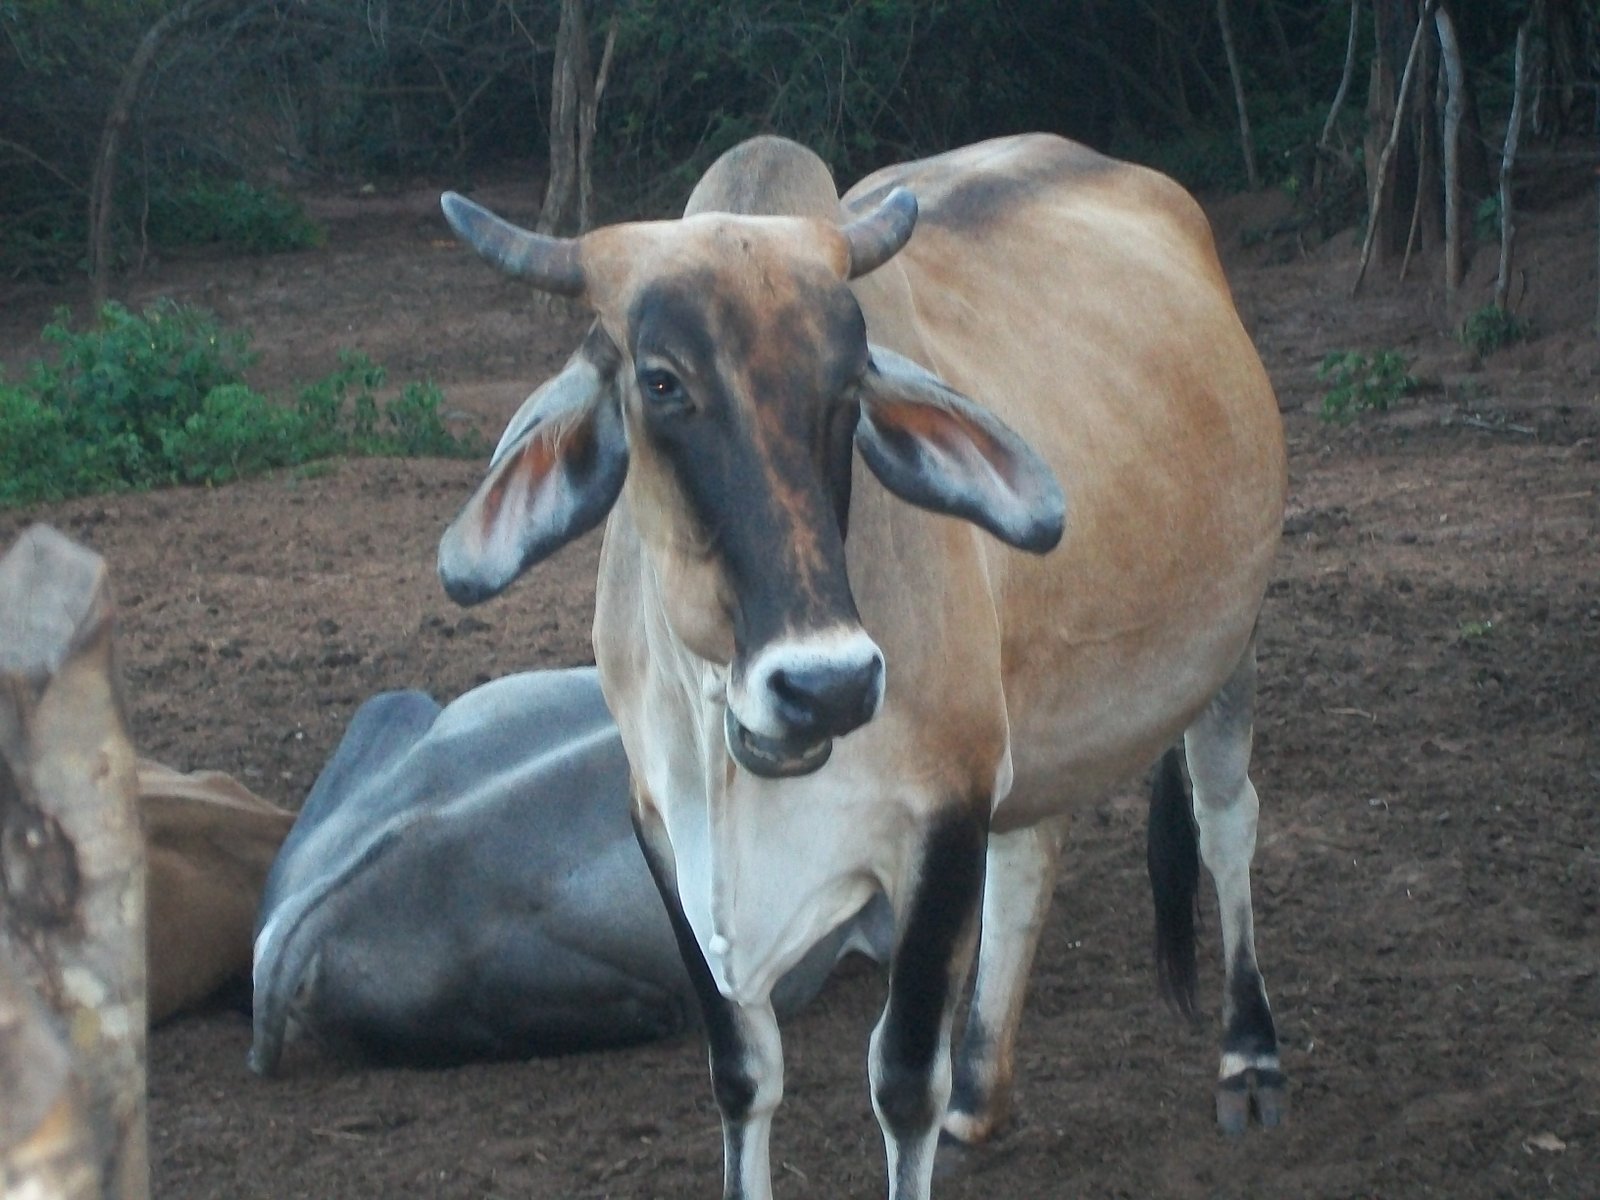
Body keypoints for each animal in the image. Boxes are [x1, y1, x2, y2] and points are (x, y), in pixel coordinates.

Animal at [434, 133, 1288, 1198]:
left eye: (850, 383)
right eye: (662, 380)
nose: (826, 684)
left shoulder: (943, 810)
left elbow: (902, 1081)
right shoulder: (662, 827)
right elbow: (742, 1073)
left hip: (1230, 643)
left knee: (1226, 822)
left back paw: (1248, 1053)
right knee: (1031, 855)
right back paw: (982, 1091)